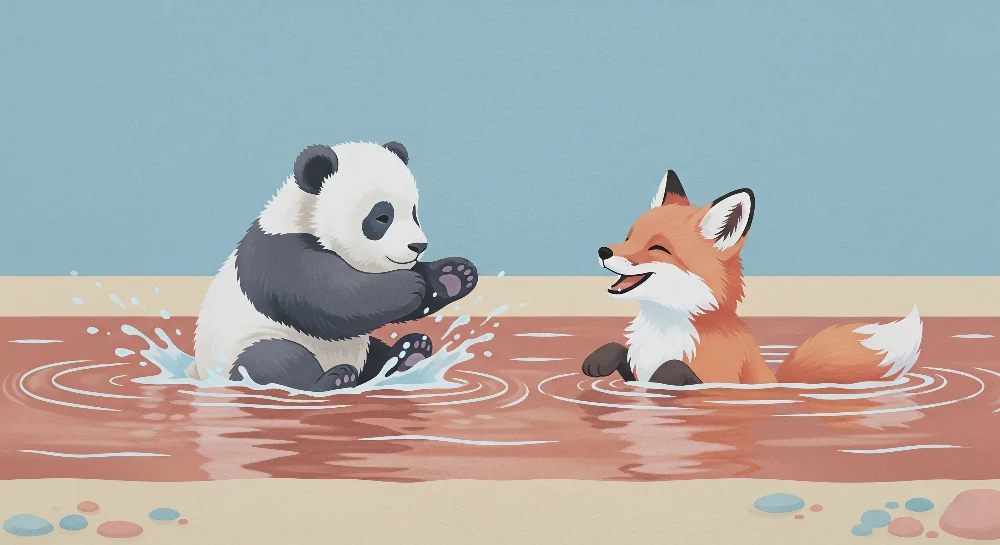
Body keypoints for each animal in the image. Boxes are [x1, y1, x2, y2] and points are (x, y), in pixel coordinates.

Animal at [188, 141, 479, 391]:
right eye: (382, 216)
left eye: (414, 213)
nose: (418, 246)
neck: (305, 218)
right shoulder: (280, 256)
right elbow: (330, 298)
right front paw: (410, 285)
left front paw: (454, 276)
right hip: (245, 344)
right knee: (272, 360)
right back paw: (335, 379)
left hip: (363, 348)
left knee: (375, 352)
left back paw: (410, 353)